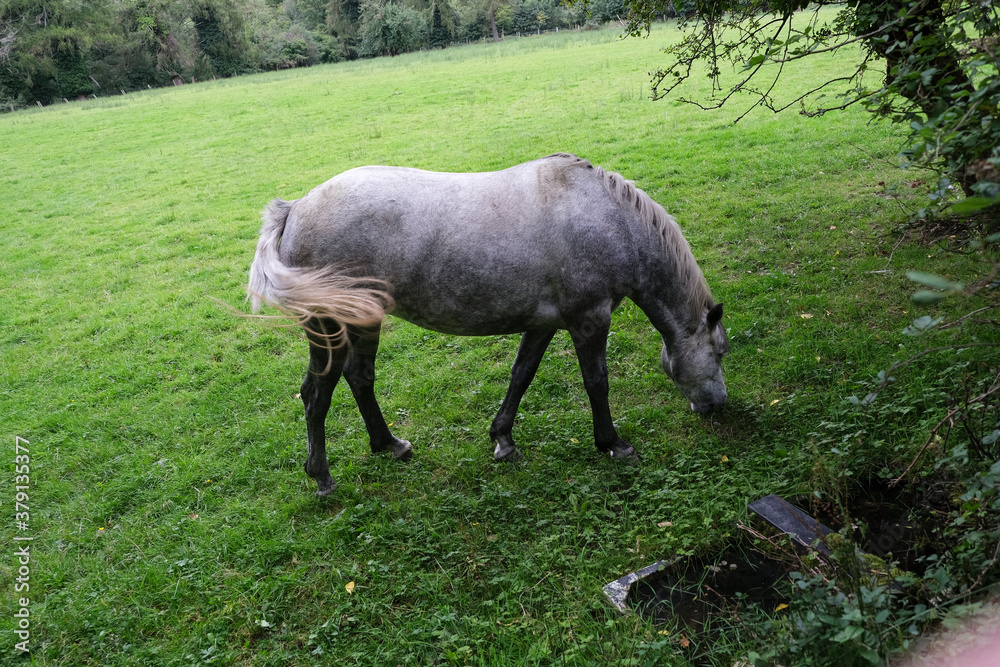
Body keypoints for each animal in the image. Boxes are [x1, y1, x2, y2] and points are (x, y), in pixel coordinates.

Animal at [249, 153, 728, 496]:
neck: (608, 220)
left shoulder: (543, 324)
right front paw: (612, 443)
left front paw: (503, 439)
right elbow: (597, 382)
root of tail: (295, 209)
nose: (718, 406)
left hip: (364, 319)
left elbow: (521, 376)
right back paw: (322, 477)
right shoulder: (589, 320)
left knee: (360, 377)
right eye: (721, 352)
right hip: (329, 327)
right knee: (317, 393)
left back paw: (389, 445)